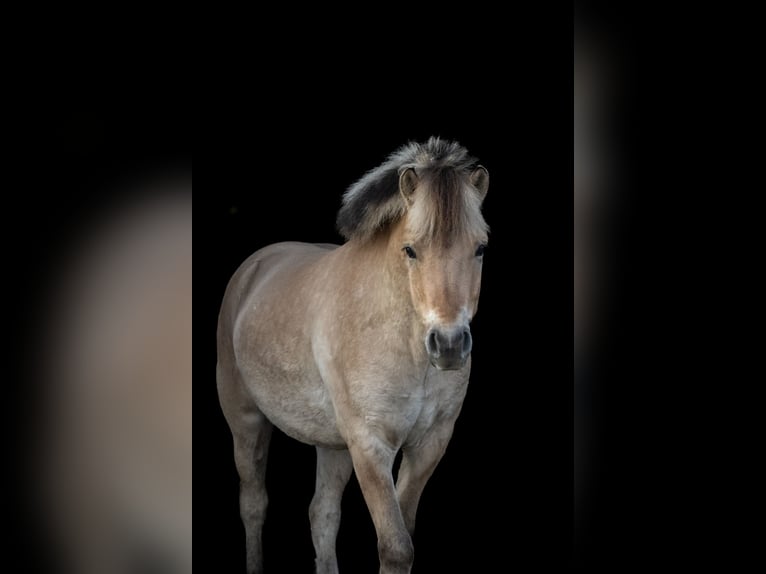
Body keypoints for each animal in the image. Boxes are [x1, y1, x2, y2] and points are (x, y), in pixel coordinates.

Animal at [217, 137, 489, 574]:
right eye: (410, 250)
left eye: (479, 249)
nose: (448, 345)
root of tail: (252, 268)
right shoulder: (370, 445)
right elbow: (396, 547)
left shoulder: (429, 443)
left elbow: (401, 534)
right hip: (246, 421)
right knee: (254, 504)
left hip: (332, 445)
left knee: (322, 515)